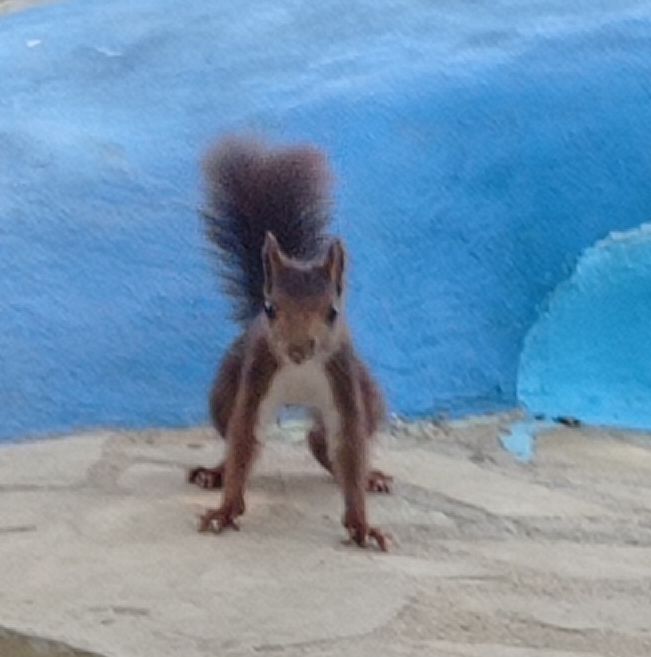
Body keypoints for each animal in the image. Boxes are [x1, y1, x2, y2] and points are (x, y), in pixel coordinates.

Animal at [188, 136, 392, 551]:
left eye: (333, 311)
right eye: (270, 308)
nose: (298, 349)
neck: (301, 369)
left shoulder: (343, 377)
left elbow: (349, 442)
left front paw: (362, 526)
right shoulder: (257, 373)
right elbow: (244, 437)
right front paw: (226, 510)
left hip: (370, 396)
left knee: (325, 440)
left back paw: (369, 476)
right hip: (223, 392)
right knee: (235, 435)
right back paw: (214, 473)